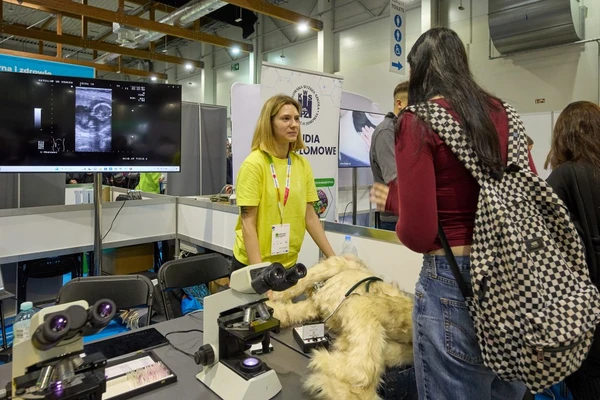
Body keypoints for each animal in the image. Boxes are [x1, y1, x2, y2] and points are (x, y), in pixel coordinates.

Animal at [268, 256, 412, 400]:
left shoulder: (328, 267)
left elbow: (298, 285)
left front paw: (273, 297)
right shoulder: (312, 306)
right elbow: (289, 313)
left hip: (360, 305)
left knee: (362, 373)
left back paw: (322, 371)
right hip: (392, 349)